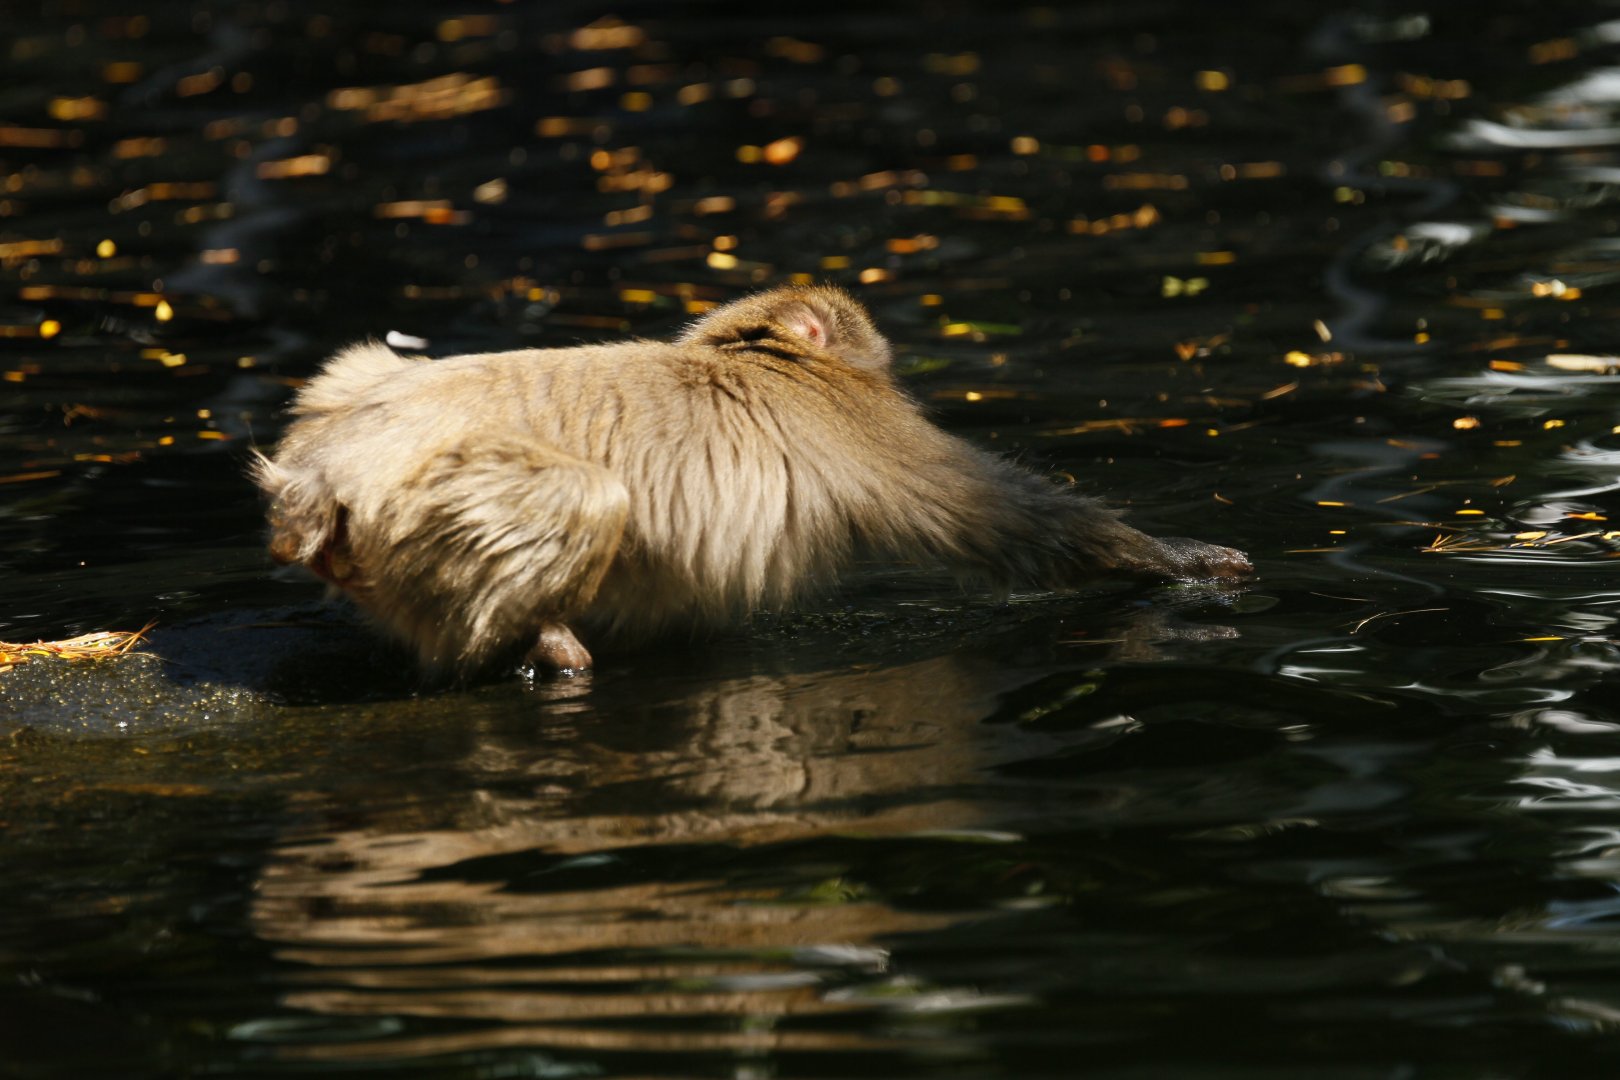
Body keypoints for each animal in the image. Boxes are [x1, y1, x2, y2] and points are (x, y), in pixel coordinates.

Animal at [254, 285, 1251, 676]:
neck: (756, 349)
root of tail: (316, 477)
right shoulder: (854, 416)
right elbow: (997, 516)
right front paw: (1180, 559)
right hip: (424, 503)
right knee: (584, 498)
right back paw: (549, 644)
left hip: (349, 409)